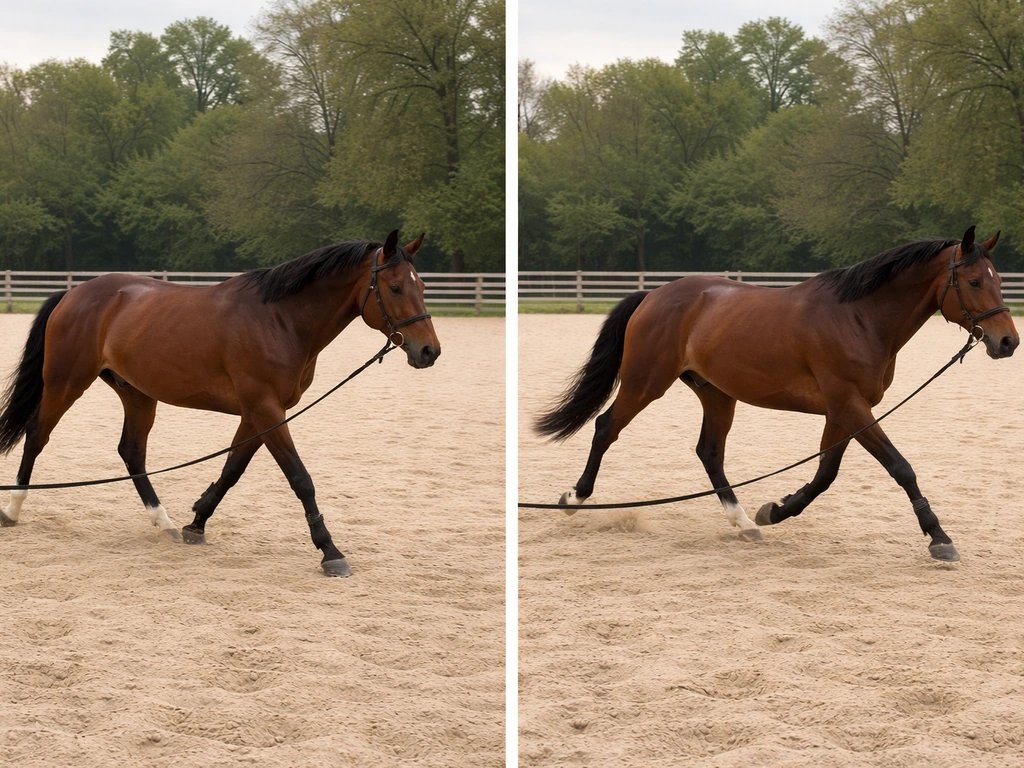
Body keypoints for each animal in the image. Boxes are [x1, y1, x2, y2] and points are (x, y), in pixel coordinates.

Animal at [0, 230, 440, 577]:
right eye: (395, 288)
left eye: (421, 287)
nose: (429, 351)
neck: (281, 320)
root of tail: (74, 292)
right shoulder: (265, 408)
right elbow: (300, 478)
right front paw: (329, 550)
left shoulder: (260, 413)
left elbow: (232, 469)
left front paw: (197, 522)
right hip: (66, 382)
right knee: (37, 436)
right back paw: (12, 510)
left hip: (137, 393)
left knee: (132, 452)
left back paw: (164, 522)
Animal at [536, 227, 1019, 562]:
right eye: (974, 282)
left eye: (999, 280)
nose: (1008, 342)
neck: (860, 318)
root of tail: (655, 294)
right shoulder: (850, 406)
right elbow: (900, 468)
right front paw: (939, 537)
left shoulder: (842, 411)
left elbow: (825, 474)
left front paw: (776, 509)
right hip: (645, 383)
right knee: (606, 429)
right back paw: (574, 499)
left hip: (717, 394)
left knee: (709, 452)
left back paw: (745, 523)